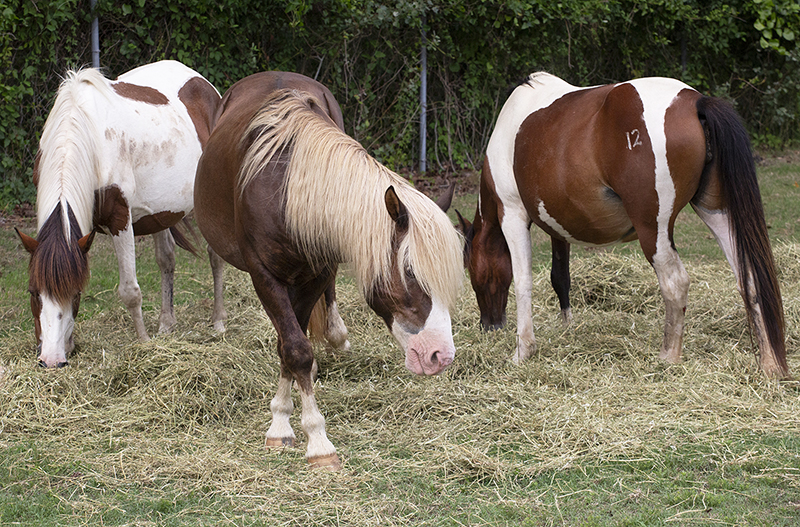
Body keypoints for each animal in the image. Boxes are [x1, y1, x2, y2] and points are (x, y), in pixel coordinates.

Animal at [16, 60, 228, 368]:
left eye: (76, 295)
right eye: (33, 292)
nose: (51, 359)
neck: (83, 134)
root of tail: (205, 86)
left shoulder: (120, 219)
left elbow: (130, 291)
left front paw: (144, 343)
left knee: (215, 257)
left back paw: (218, 321)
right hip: (161, 213)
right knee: (167, 260)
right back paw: (167, 324)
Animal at [194, 71, 466, 470]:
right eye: (410, 273)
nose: (440, 356)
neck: (287, 188)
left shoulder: (316, 275)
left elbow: (291, 345)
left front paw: (289, 421)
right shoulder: (265, 277)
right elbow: (294, 348)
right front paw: (311, 439)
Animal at [460, 72, 792, 380]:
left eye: (475, 273)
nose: (489, 326)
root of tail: (695, 102)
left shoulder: (513, 214)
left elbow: (524, 282)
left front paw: (523, 351)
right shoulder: (558, 226)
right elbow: (560, 277)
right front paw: (567, 328)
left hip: (653, 229)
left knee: (675, 282)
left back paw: (668, 356)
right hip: (716, 213)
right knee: (749, 279)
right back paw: (770, 364)